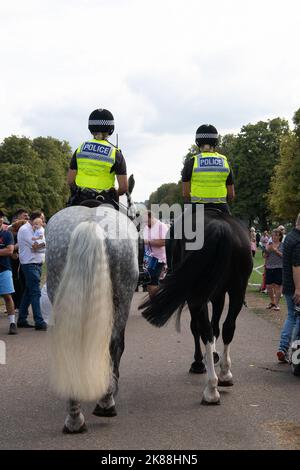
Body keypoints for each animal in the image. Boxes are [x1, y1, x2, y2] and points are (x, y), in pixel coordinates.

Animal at [140, 209, 253, 404]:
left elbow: (197, 328)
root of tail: (220, 226)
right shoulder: (218, 294)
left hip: (197, 295)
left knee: (204, 329)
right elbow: (217, 327)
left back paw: (211, 389)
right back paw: (224, 374)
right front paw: (213, 358)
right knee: (228, 327)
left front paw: (200, 362)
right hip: (237, 290)